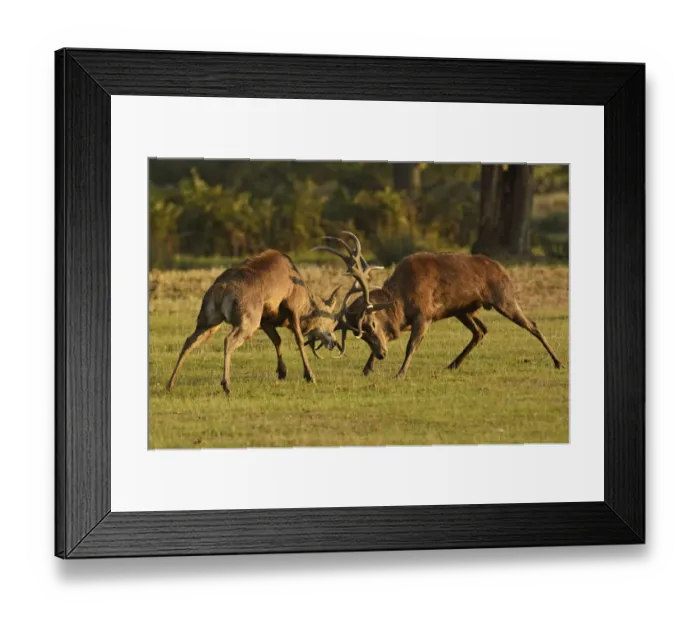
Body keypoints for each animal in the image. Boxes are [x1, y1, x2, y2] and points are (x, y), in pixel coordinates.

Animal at [166, 250, 342, 395]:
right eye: (332, 320)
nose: (334, 342)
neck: (306, 303)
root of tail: (222, 289)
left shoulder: (265, 320)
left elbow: (277, 340)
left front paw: (282, 372)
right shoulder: (291, 307)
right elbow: (298, 339)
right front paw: (310, 375)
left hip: (208, 320)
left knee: (190, 340)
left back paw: (170, 383)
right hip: (248, 320)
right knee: (228, 340)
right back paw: (226, 385)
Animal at [314, 232, 563, 379]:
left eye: (372, 324)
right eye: (361, 334)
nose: (382, 354)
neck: (401, 303)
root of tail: (502, 269)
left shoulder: (424, 315)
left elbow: (411, 345)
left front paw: (400, 373)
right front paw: (367, 368)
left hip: (504, 297)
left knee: (531, 324)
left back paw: (558, 362)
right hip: (463, 310)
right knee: (481, 330)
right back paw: (453, 364)